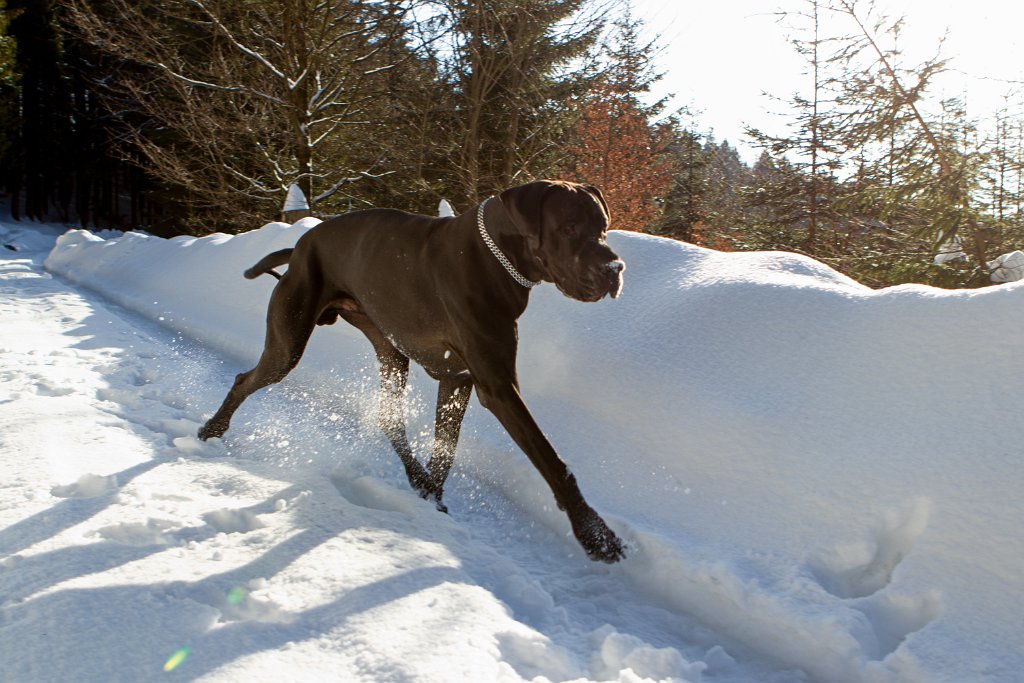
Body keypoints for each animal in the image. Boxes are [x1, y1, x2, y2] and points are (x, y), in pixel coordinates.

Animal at [196, 179, 626, 565]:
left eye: (603, 228)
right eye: (568, 228)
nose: (615, 267)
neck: (496, 260)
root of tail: (301, 245)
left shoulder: (458, 379)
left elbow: (445, 451)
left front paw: (431, 496)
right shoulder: (497, 386)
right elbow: (551, 460)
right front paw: (596, 535)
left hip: (389, 348)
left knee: (390, 419)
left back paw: (417, 478)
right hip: (288, 343)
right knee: (246, 379)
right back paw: (212, 429)